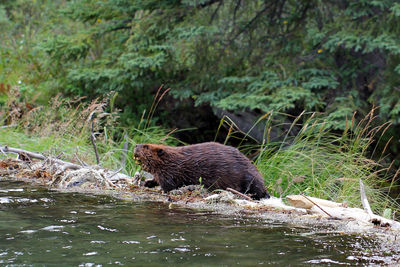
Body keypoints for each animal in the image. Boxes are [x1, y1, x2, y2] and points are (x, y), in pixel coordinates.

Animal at [134, 143, 268, 200]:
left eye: (146, 146)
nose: (135, 145)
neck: (172, 159)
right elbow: (155, 180)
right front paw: (147, 182)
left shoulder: (171, 172)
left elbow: (169, 185)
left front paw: (162, 190)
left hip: (249, 177)